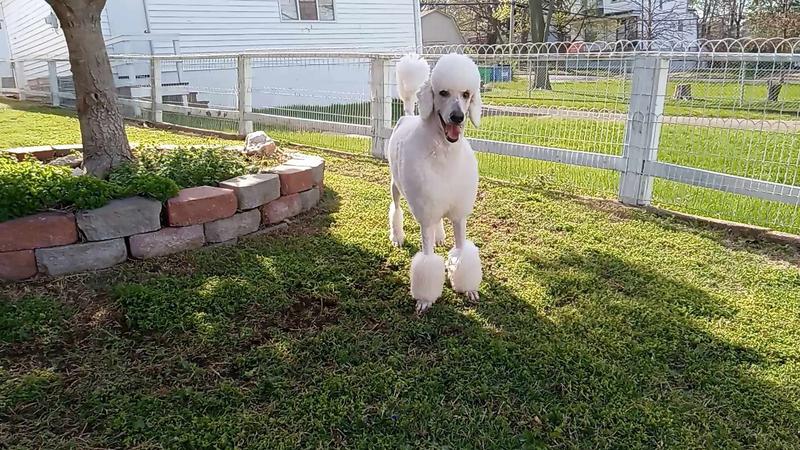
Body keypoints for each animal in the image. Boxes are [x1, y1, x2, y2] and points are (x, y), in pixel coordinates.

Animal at [386, 53, 483, 313]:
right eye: (443, 93)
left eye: (466, 94)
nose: (457, 117)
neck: (444, 153)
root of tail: (408, 115)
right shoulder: (426, 215)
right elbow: (427, 261)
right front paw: (425, 299)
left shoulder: (459, 214)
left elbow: (462, 251)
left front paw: (468, 288)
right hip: (395, 186)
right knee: (396, 208)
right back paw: (397, 237)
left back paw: (440, 236)